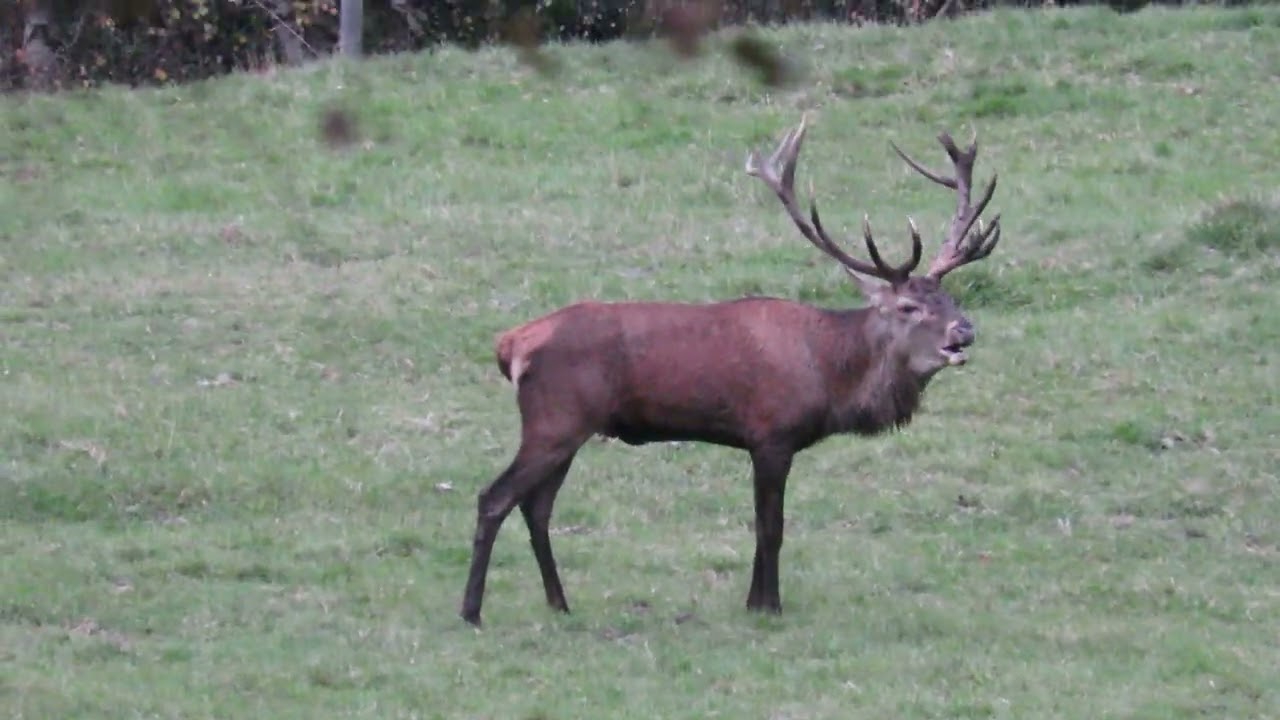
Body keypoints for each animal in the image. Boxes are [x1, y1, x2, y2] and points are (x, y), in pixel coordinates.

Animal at [460, 113, 1002, 626]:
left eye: (949, 297)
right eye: (910, 307)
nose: (964, 331)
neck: (830, 375)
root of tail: (511, 344)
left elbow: (762, 527)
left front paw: (753, 602)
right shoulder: (772, 435)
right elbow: (771, 527)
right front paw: (769, 606)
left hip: (570, 428)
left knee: (536, 506)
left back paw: (559, 604)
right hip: (555, 419)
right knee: (494, 498)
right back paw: (471, 611)